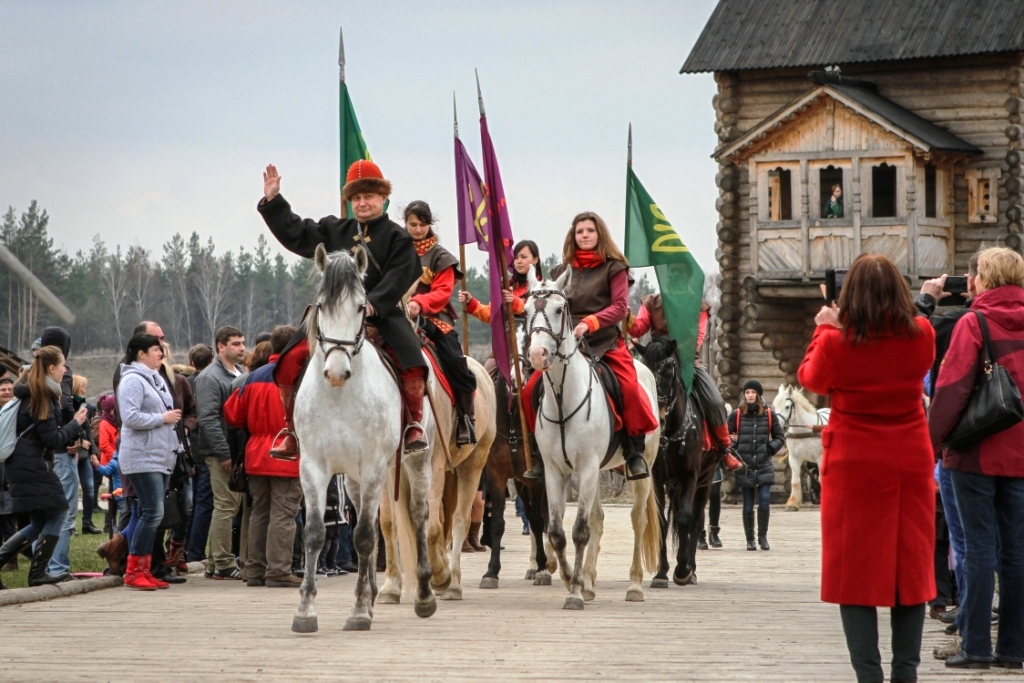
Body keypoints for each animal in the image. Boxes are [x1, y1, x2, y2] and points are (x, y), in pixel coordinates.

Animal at [288, 242, 436, 634]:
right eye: (322, 305)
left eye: (359, 306)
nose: (336, 372)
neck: (340, 395)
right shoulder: (314, 467)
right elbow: (315, 532)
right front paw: (306, 611)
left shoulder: (373, 467)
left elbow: (366, 536)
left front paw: (357, 612)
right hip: (353, 478)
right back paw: (370, 593)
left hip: (416, 461)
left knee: (417, 514)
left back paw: (424, 595)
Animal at [524, 266, 659, 610]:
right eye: (526, 311)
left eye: (560, 310)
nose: (538, 354)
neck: (563, 396)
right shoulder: (555, 472)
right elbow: (557, 531)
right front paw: (571, 578)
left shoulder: (585, 468)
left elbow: (580, 530)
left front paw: (573, 593)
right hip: (596, 473)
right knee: (598, 517)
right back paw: (588, 581)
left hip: (642, 469)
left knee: (638, 519)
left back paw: (634, 586)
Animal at [634, 339, 716, 585]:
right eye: (646, 372)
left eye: (669, 371)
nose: (657, 416)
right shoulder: (658, 478)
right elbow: (662, 521)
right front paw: (661, 572)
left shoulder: (690, 476)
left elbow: (685, 518)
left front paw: (682, 569)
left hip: (705, 480)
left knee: (696, 519)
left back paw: (691, 569)